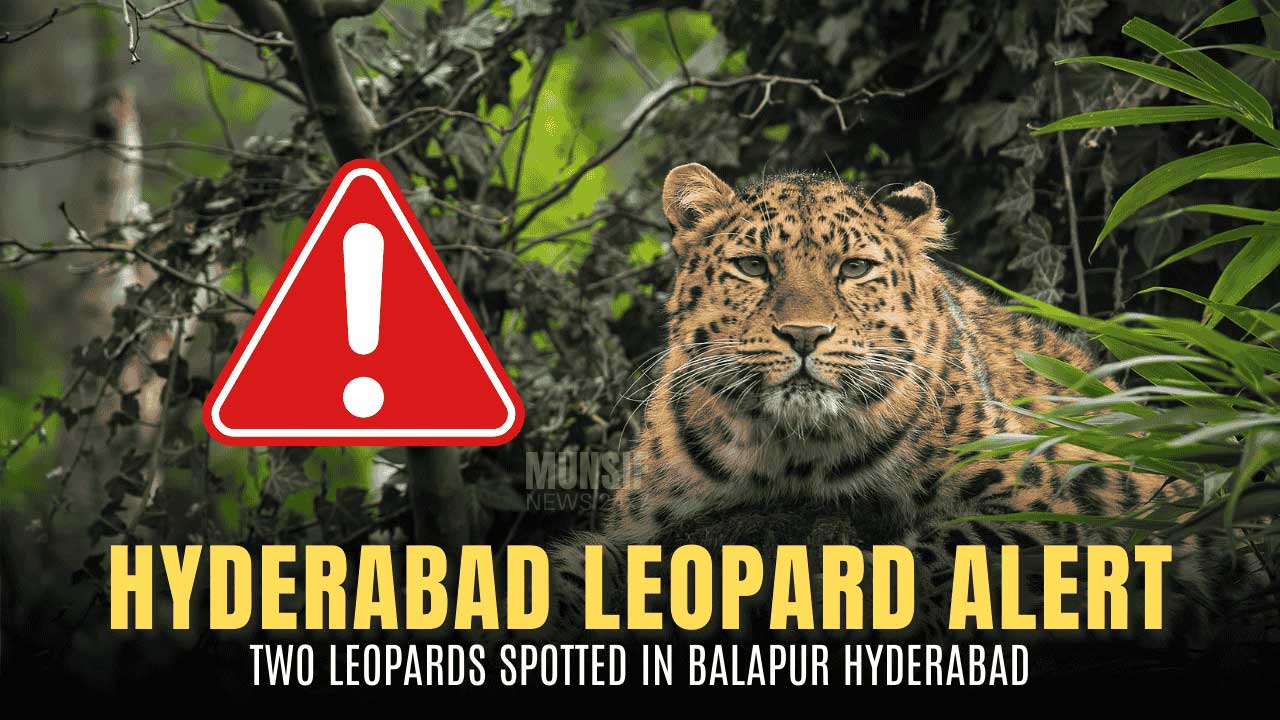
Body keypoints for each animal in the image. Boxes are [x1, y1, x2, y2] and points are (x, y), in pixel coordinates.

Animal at [534, 163, 1240, 646]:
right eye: (754, 266)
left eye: (854, 269)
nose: (804, 334)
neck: (790, 452)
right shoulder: (641, 534)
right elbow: (569, 573)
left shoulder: (1048, 506)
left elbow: (939, 557)